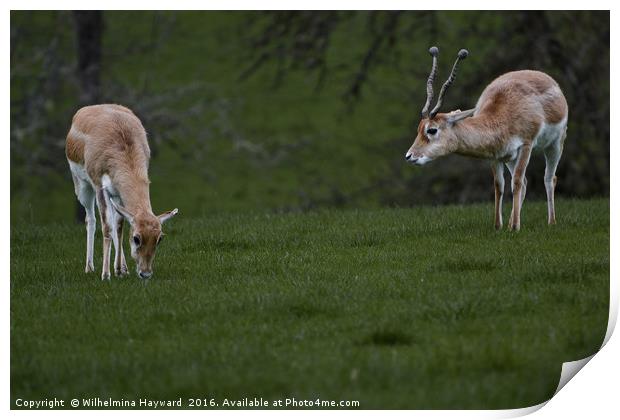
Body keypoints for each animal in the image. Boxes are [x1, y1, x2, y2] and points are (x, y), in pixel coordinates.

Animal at [65, 104, 177, 280]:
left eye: (159, 239)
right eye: (136, 238)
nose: (145, 273)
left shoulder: (118, 193)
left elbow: (118, 227)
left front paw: (119, 270)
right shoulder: (100, 187)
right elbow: (107, 228)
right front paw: (106, 275)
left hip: (115, 197)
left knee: (114, 221)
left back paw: (122, 268)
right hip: (83, 187)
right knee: (90, 219)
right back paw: (89, 267)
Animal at [404, 47, 568, 231]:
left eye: (432, 130)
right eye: (419, 129)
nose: (409, 156)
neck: (501, 118)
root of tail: (547, 78)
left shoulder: (526, 145)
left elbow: (516, 182)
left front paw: (515, 227)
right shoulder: (495, 155)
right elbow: (499, 185)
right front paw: (498, 226)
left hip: (555, 144)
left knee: (548, 178)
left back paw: (551, 222)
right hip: (510, 158)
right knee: (525, 182)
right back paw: (511, 221)